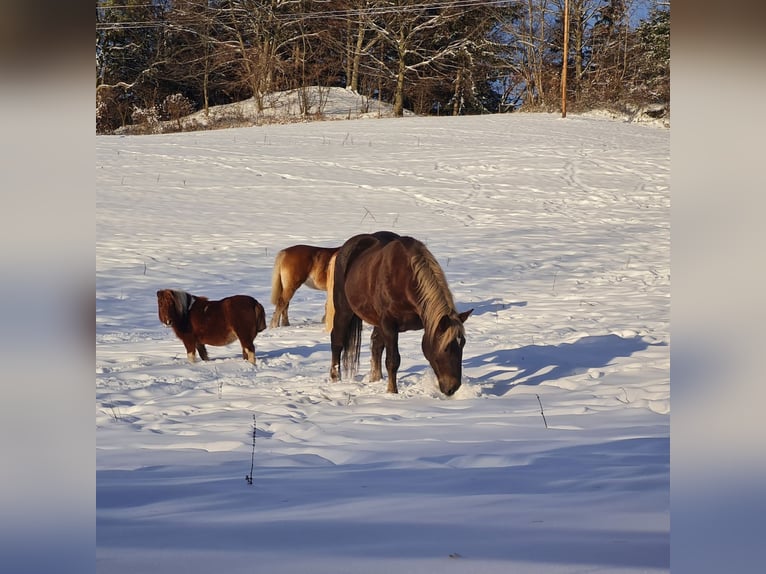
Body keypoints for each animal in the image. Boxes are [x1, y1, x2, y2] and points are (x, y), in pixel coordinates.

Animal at [328, 232, 472, 398]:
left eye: (463, 344)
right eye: (446, 347)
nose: (452, 388)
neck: (406, 281)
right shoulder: (389, 325)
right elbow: (393, 360)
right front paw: (392, 391)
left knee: (376, 344)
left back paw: (376, 379)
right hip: (344, 310)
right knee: (337, 340)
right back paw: (335, 379)